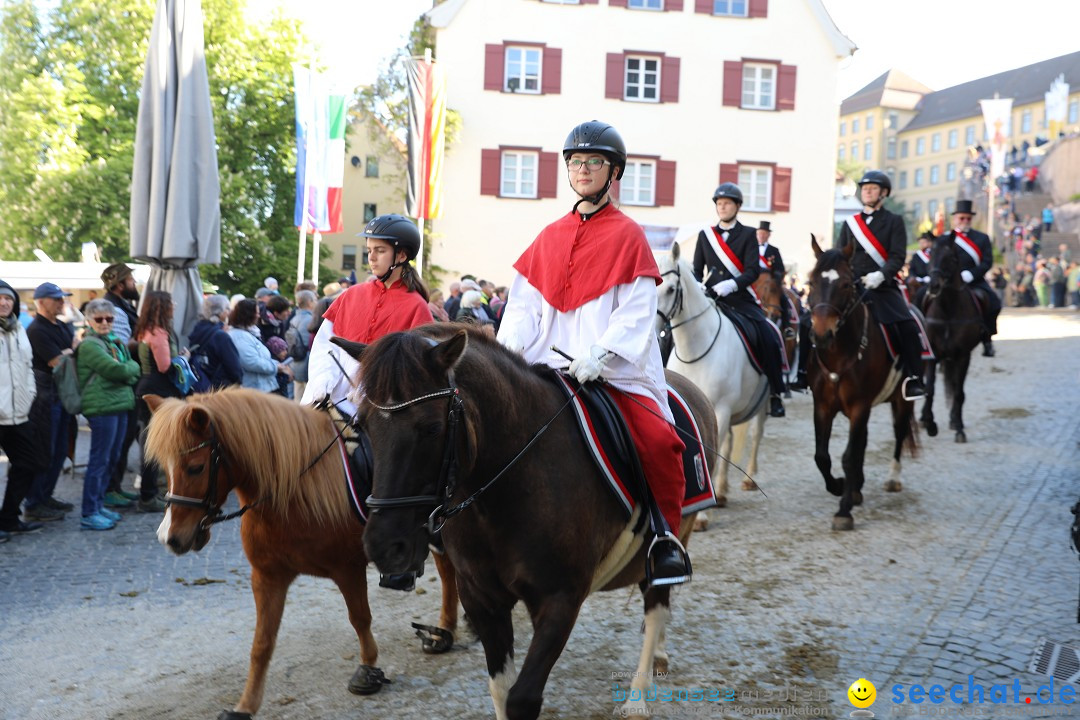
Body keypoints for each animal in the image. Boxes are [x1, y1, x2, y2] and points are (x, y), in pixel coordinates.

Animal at [142, 388, 455, 720]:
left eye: (196, 467)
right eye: (164, 468)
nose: (170, 538)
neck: (292, 490)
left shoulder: (348, 569)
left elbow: (360, 618)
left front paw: (369, 669)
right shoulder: (268, 576)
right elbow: (262, 643)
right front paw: (245, 705)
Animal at [330, 325, 717, 720]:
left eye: (432, 427)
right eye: (361, 425)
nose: (384, 545)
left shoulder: (561, 599)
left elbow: (521, 698)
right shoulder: (481, 600)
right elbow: (501, 691)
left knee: (657, 604)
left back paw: (638, 698)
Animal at [652, 245, 773, 515]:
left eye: (671, 289)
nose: (653, 332)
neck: (695, 350)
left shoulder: (721, 408)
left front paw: (702, 517)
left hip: (763, 402)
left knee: (756, 434)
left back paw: (748, 479)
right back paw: (723, 490)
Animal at [807, 236, 915, 528]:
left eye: (846, 284)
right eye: (811, 282)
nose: (822, 335)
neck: (839, 354)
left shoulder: (859, 406)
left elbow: (847, 456)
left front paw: (843, 510)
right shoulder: (823, 406)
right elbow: (822, 456)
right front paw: (840, 486)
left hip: (903, 400)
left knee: (899, 432)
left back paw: (893, 478)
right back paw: (856, 487)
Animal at [915, 234, 984, 442]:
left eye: (951, 258)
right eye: (931, 255)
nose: (933, 286)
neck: (947, 311)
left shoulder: (963, 356)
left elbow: (959, 393)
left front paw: (959, 429)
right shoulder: (932, 355)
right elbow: (930, 389)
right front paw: (929, 423)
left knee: (954, 387)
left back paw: (954, 420)